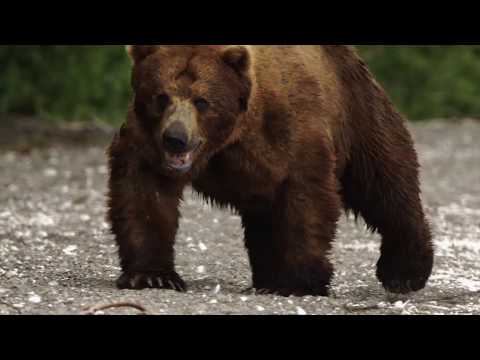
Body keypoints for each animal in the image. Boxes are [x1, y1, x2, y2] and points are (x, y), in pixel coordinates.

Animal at [108, 45, 436, 296]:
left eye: (202, 101)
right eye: (161, 96)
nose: (175, 138)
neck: (230, 138)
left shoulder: (291, 134)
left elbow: (307, 200)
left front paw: (300, 281)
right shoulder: (147, 144)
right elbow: (145, 196)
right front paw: (153, 275)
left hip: (358, 114)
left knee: (386, 183)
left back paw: (405, 272)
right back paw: (266, 278)